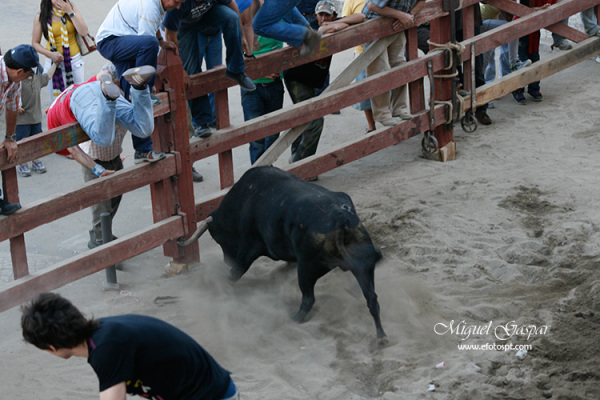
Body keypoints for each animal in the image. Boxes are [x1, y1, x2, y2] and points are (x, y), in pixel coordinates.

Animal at [185, 167, 386, 340]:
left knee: (308, 298)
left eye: (217, 238)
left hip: (306, 269)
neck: (244, 198)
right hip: (363, 267)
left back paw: (294, 319)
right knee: (372, 299)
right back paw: (381, 335)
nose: (227, 260)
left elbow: (236, 272)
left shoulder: (249, 246)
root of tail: (341, 219)